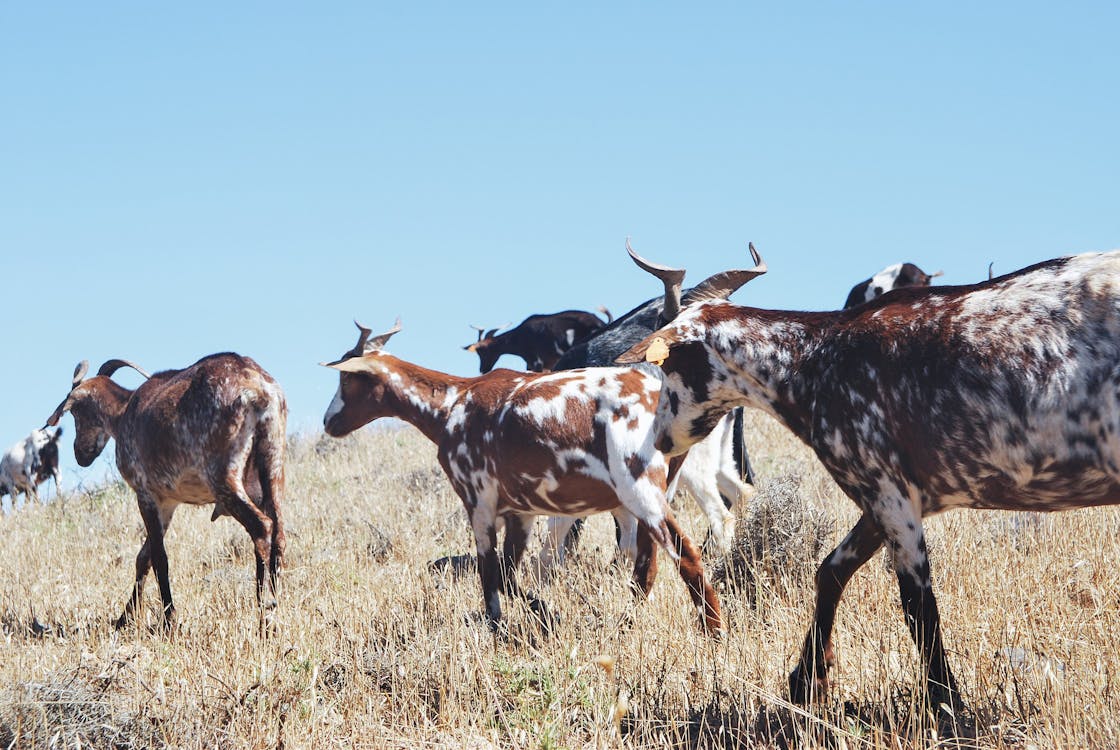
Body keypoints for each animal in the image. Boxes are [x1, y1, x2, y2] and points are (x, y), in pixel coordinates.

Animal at [45, 355, 286, 631]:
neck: (124, 413)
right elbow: (144, 557)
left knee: (261, 526)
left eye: (76, 412)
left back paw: (264, 611)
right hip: (273, 463)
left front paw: (168, 619)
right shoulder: (168, 502)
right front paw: (123, 618)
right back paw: (275, 605)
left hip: (223, 475)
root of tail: (258, 390)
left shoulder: (145, 493)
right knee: (279, 533)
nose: (80, 453)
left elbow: (159, 557)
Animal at [320, 320, 721, 635]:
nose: (328, 422)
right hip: (655, 492)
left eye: (347, 378)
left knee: (687, 555)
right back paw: (629, 622)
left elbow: (489, 576)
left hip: (640, 490)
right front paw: (546, 613)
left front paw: (500, 625)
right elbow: (508, 575)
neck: (452, 404)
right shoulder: (520, 513)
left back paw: (714, 633)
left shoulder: (478, 503)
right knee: (647, 565)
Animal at [618, 246, 1120, 720]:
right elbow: (830, 571)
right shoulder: (888, 498)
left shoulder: (887, 492)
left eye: (669, 366)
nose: (660, 439)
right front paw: (808, 679)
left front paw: (946, 702)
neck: (813, 358)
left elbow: (917, 605)